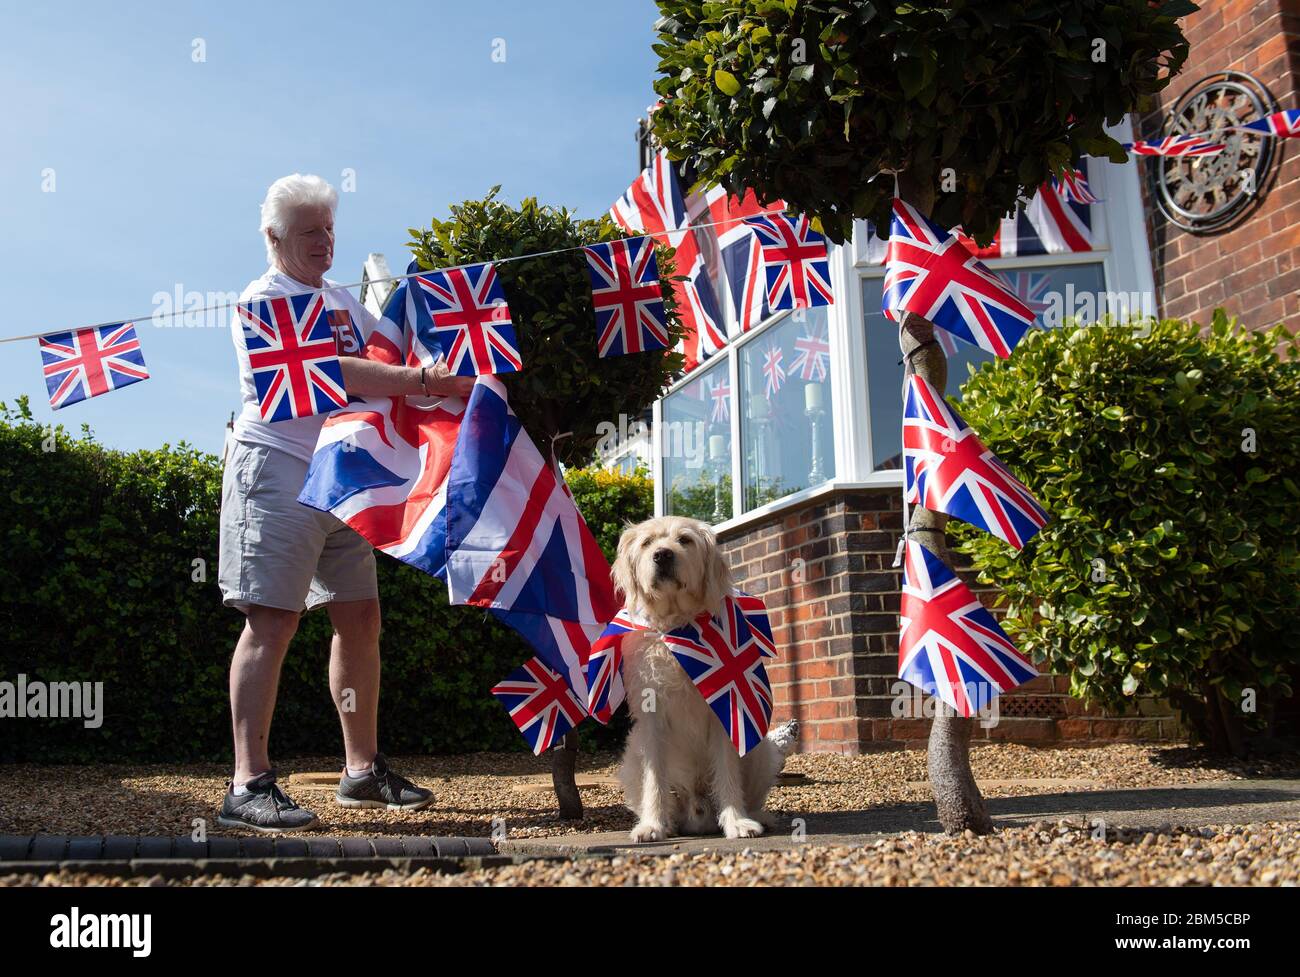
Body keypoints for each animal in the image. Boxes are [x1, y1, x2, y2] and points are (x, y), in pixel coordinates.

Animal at [611, 514, 800, 841]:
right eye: (647, 543)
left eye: (685, 540)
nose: (663, 555)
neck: (677, 624)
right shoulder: (651, 718)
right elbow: (654, 780)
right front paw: (652, 825)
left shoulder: (727, 709)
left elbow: (726, 772)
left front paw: (737, 821)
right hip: (632, 756)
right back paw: (667, 822)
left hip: (760, 750)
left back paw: (758, 816)